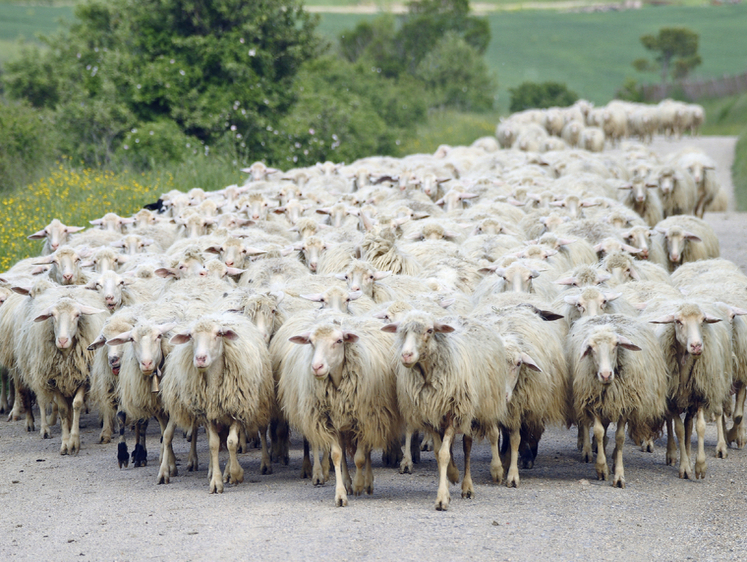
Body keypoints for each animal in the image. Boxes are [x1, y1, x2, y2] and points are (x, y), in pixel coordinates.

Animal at [161, 312, 274, 492]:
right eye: (191, 336)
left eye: (218, 334)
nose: (200, 359)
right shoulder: (208, 414)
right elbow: (213, 444)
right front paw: (216, 480)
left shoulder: (237, 410)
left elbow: (232, 442)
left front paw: (235, 474)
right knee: (168, 435)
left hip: (260, 403)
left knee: (262, 431)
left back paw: (264, 464)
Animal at [278, 312, 404, 506]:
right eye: (311, 342)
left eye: (339, 341)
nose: (317, 367)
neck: (338, 382)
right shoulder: (329, 422)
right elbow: (337, 455)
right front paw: (341, 494)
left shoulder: (364, 420)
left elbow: (360, 458)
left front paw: (359, 484)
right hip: (343, 425)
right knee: (344, 453)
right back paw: (347, 482)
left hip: (372, 420)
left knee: (367, 451)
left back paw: (367, 483)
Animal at [386, 310, 508, 508]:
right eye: (401, 332)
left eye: (429, 330)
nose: (406, 355)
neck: (428, 376)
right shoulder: (431, 417)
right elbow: (439, 453)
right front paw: (451, 475)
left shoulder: (454, 413)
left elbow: (444, 454)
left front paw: (442, 497)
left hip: (477, 407)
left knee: (470, 445)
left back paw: (472, 484)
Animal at [568, 312, 668, 484]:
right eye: (591, 348)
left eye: (616, 345)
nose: (605, 375)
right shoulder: (592, 403)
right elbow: (599, 432)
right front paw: (602, 468)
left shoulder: (625, 405)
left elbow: (620, 438)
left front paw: (619, 474)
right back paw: (590, 451)